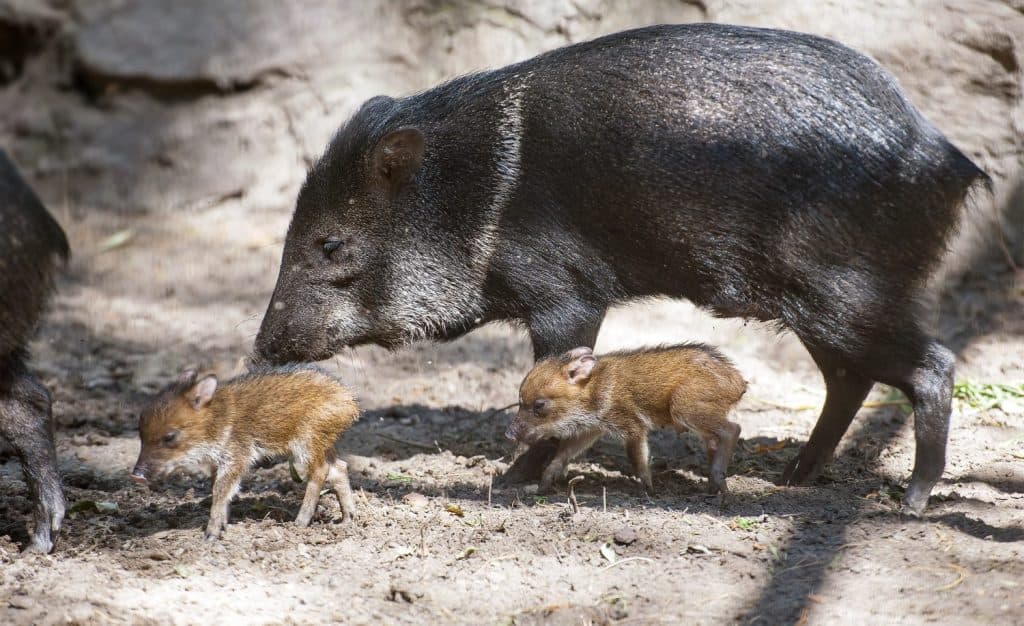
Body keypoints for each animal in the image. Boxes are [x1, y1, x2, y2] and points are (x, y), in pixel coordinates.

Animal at [131, 366, 359, 540]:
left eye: (170, 436)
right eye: (139, 432)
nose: (136, 475)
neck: (217, 420)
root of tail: (350, 403)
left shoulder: (236, 455)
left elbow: (221, 489)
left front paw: (211, 535)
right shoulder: (218, 462)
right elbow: (217, 488)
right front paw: (223, 525)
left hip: (307, 440)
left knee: (320, 471)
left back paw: (299, 523)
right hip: (323, 441)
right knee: (339, 467)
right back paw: (347, 520)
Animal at [507, 345, 747, 497]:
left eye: (539, 405)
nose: (509, 433)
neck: (593, 390)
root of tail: (739, 383)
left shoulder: (632, 425)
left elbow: (636, 457)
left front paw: (648, 490)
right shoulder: (592, 429)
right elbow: (563, 453)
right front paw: (542, 486)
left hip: (684, 406)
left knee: (733, 429)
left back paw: (718, 481)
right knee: (715, 440)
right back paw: (715, 488)